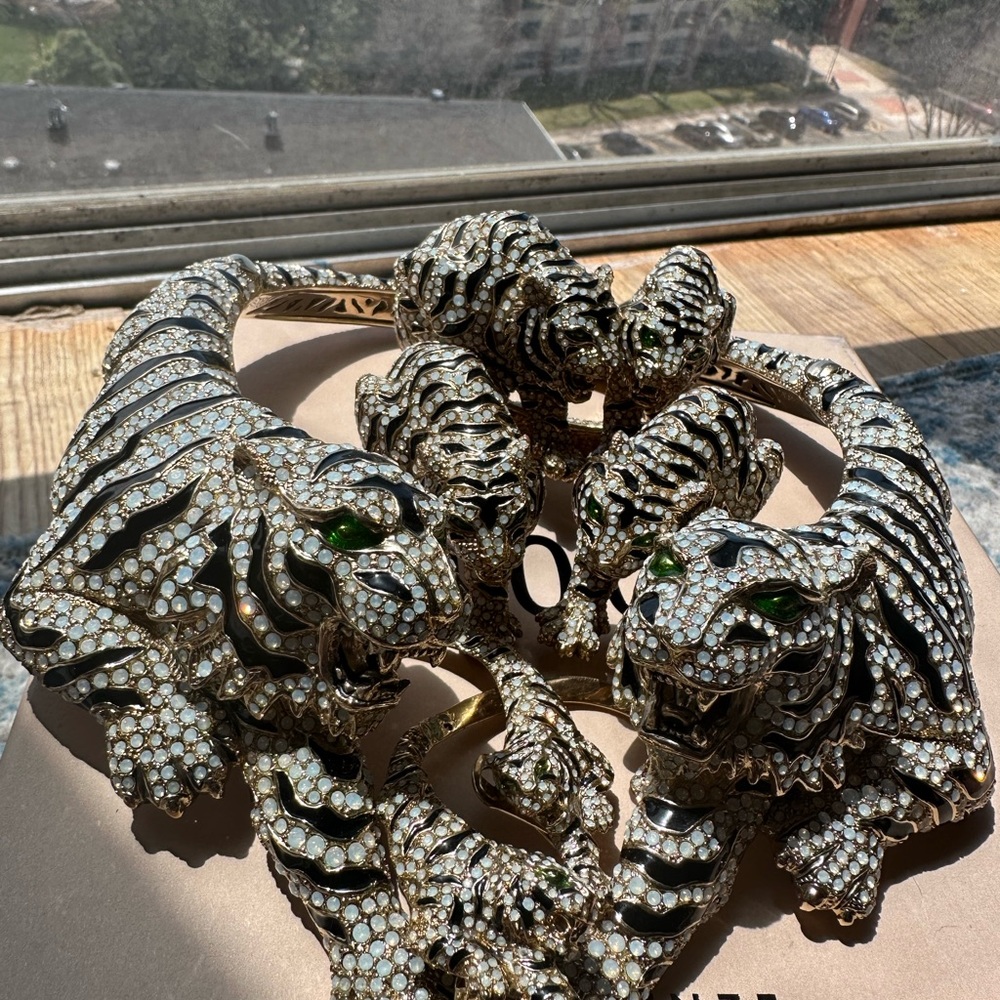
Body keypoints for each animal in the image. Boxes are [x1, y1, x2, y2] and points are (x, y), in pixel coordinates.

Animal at [0, 254, 487, 999]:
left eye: (445, 536)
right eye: (348, 532)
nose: (439, 602)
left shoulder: (296, 729)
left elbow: (328, 845)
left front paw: (382, 964)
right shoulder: (42, 582)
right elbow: (108, 648)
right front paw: (171, 750)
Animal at [538, 385, 783, 658]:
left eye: (645, 542)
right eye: (594, 510)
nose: (602, 561)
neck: (663, 465)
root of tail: (732, 397)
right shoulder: (590, 541)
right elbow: (587, 577)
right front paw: (570, 622)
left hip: (749, 485)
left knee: (769, 458)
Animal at [576, 337, 995, 998]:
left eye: (776, 602)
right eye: (666, 565)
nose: (670, 635)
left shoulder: (960, 738)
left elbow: (920, 785)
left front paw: (835, 856)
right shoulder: (691, 795)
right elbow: (651, 901)